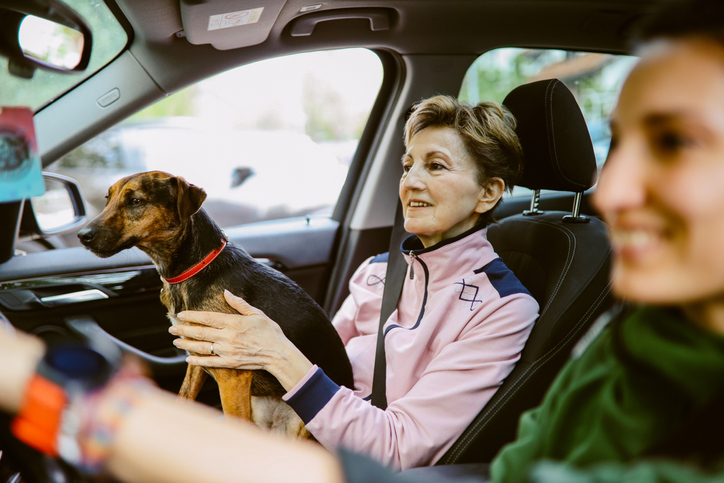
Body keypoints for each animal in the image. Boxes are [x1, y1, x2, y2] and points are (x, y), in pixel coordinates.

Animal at [76, 171, 354, 438]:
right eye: (107, 199)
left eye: (136, 201)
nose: (82, 236)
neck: (194, 269)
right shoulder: (197, 359)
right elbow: (183, 398)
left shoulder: (233, 377)